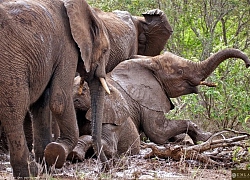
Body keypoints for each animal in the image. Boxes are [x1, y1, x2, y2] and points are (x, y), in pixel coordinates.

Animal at [0, 0, 111, 177]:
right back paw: (29, 172)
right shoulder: (67, 47)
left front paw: (47, 165)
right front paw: (55, 152)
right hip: (10, 63)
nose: (104, 169)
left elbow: (41, 104)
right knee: (14, 111)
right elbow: (59, 100)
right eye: (105, 50)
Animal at [67, 47, 250, 160]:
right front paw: (207, 137)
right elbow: (157, 132)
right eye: (180, 71)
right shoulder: (147, 101)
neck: (150, 62)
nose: (248, 64)